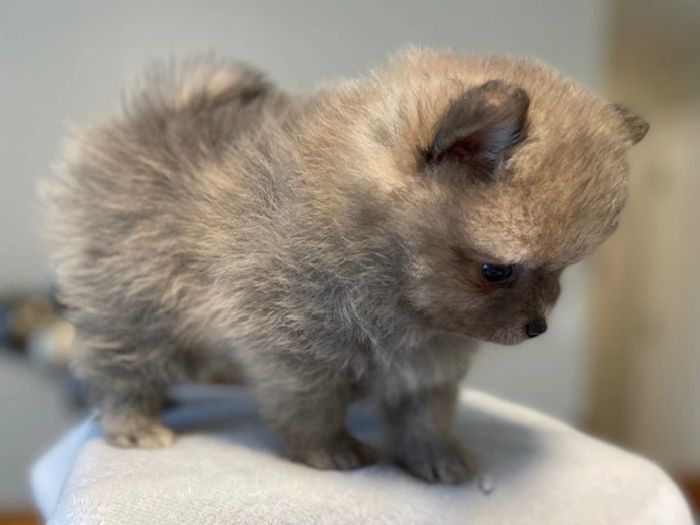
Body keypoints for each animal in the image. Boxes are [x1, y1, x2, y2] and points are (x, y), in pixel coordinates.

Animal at [42, 49, 648, 484]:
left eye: (560, 272)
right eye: (495, 271)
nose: (537, 326)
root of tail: (155, 115)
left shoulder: (429, 364)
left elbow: (426, 414)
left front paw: (435, 456)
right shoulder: (294, 347)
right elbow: (311, 409)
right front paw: (330, 450)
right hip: (132, 302)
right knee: (118, 365)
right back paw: (134, 422)